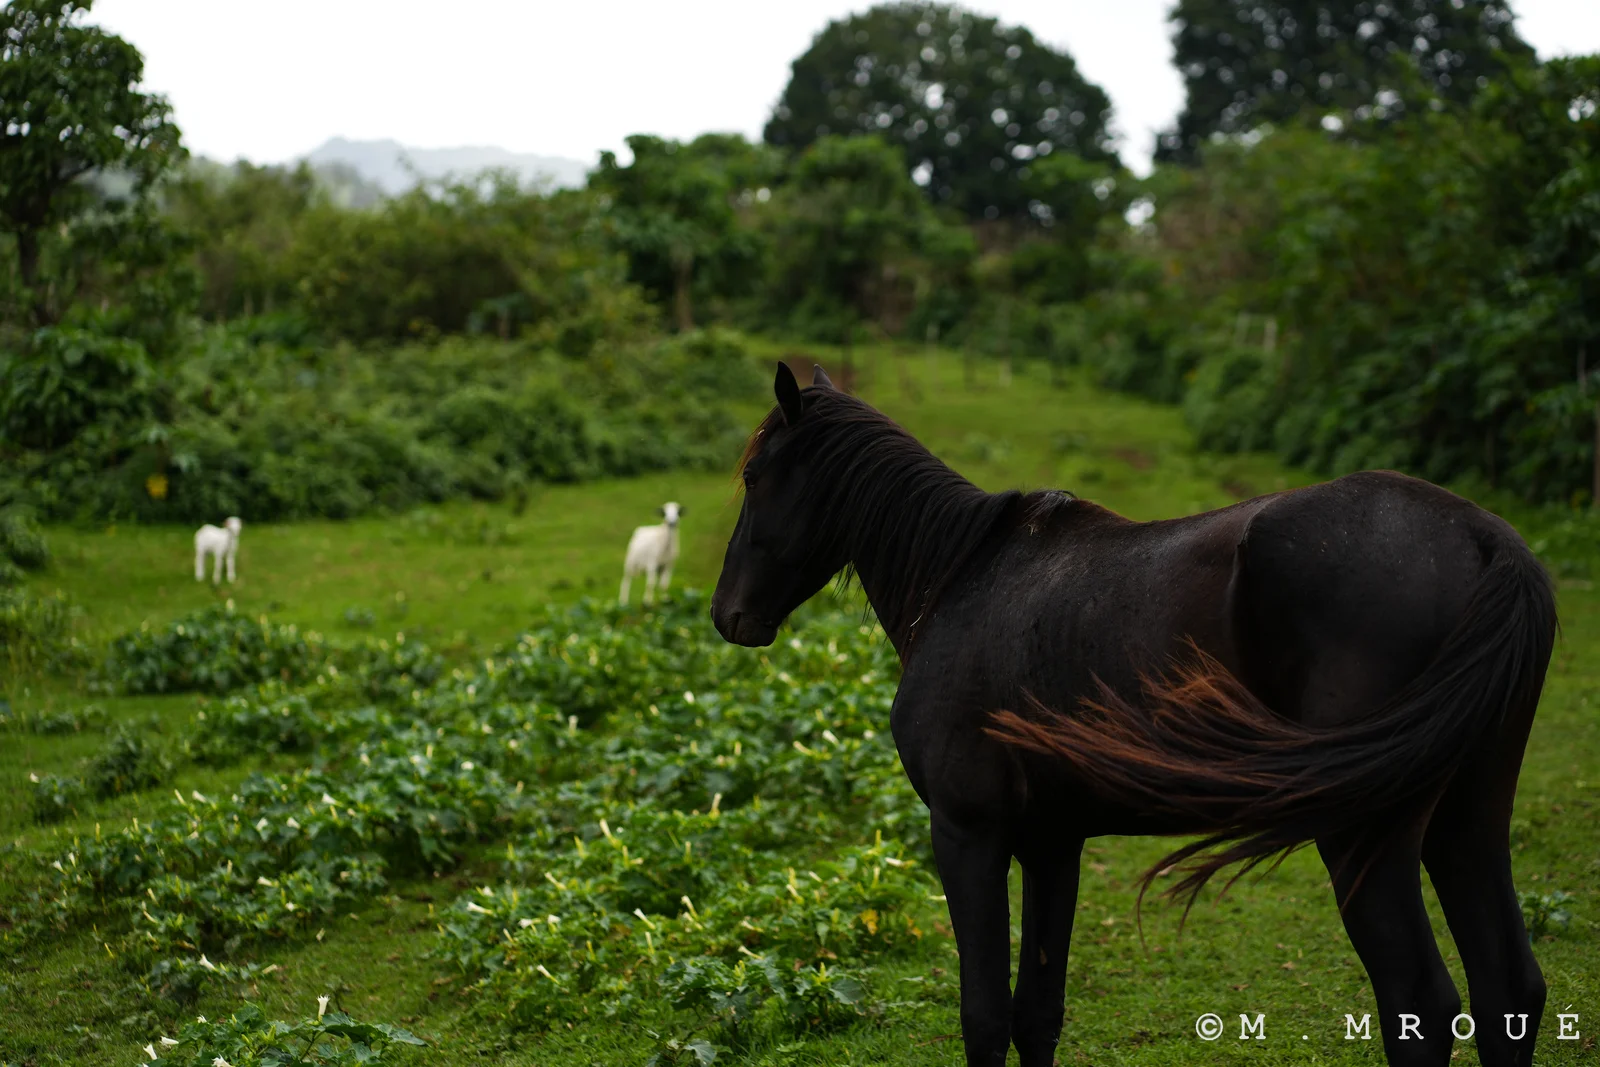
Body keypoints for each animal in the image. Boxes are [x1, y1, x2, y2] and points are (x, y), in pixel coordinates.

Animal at [710, 363, 1556, 1067]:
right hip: (1466, 817)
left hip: (1364, 836)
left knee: (1421, 1005)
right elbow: (1036, 1014)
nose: (728, 614)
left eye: (754, 474)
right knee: (1507, 990)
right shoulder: (1052, 842)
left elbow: (983, 1017)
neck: (962, 581)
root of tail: (1485, 540)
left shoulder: (967, 832)